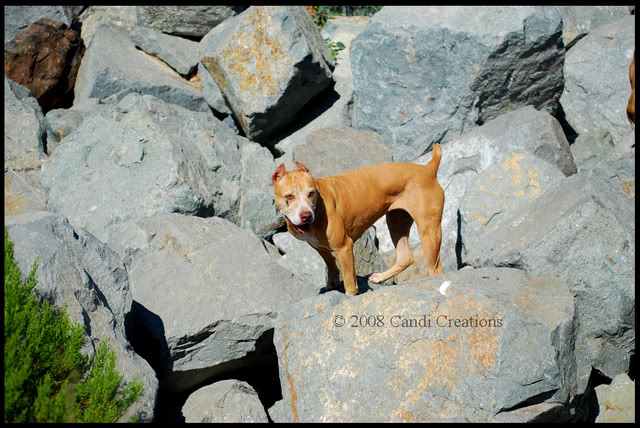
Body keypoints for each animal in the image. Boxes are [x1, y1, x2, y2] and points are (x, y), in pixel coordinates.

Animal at [272, 144, 444, 294]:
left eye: (311, 193)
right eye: (289, 196)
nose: (306, 215)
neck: (318, 207)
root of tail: (428, 169)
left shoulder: (344, 247)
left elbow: (349, 283)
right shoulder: (319, 247)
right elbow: (331, 264)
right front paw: (332, 283)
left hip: (428, 231)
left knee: (435, 268)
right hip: (396, 221)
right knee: (405, 257)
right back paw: (380, 277)